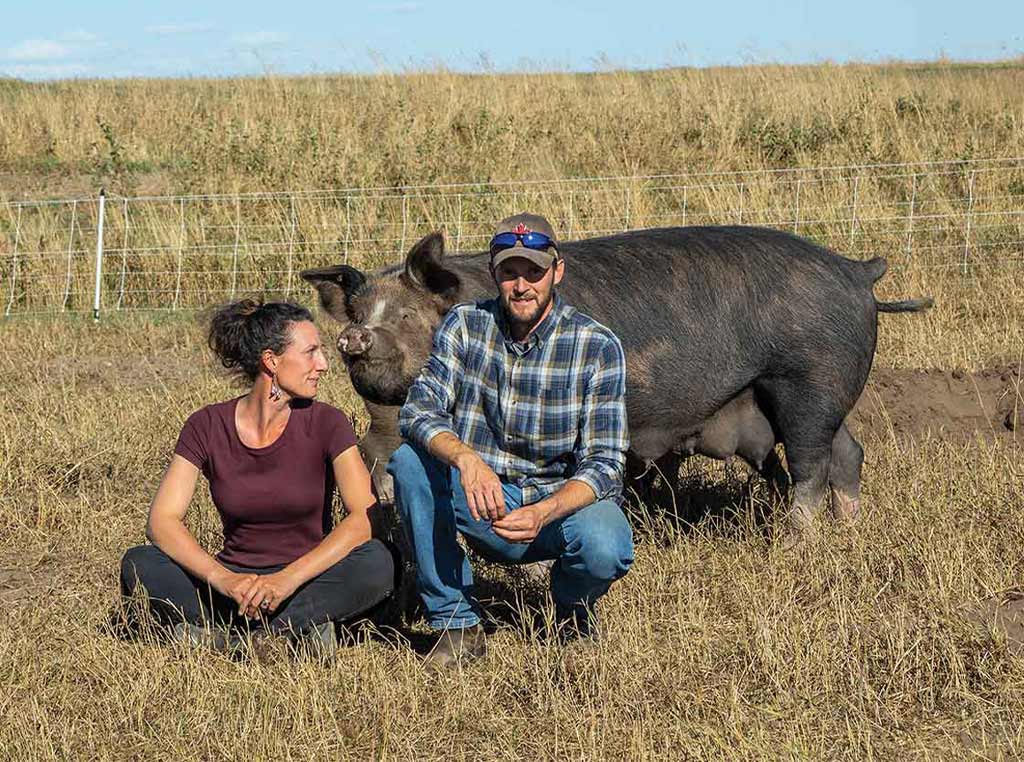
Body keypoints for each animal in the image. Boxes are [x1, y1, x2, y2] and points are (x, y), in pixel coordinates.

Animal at [299, 223, 933, 540]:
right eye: (359, 311)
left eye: (408, 315)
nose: (353, 338)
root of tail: (857, 270)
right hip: (823, 394)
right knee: (848, 453)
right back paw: (846, 532)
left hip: (807, 379)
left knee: (811, 467)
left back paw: (796, 543)